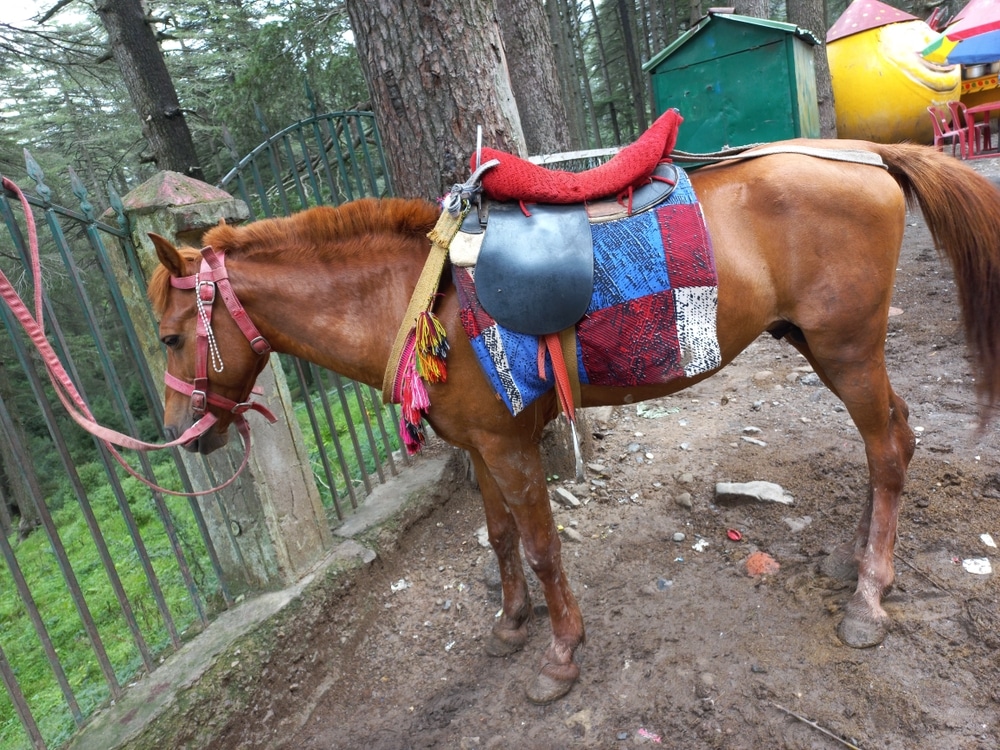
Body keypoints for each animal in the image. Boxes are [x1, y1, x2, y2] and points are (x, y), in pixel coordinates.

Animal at [148, 141, 1000, 704]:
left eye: (168, 337)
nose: (187, 436)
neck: (420, 296)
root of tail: (867, 156)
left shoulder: (510, 443)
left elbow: (541, 545)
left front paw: (560, 653)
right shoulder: (479, 446)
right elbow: (498, 538)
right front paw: (511, 622)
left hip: (847, 348)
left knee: (887, 448)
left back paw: (869, 597)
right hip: (826, 347)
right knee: (896, 434)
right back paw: (851, 561)